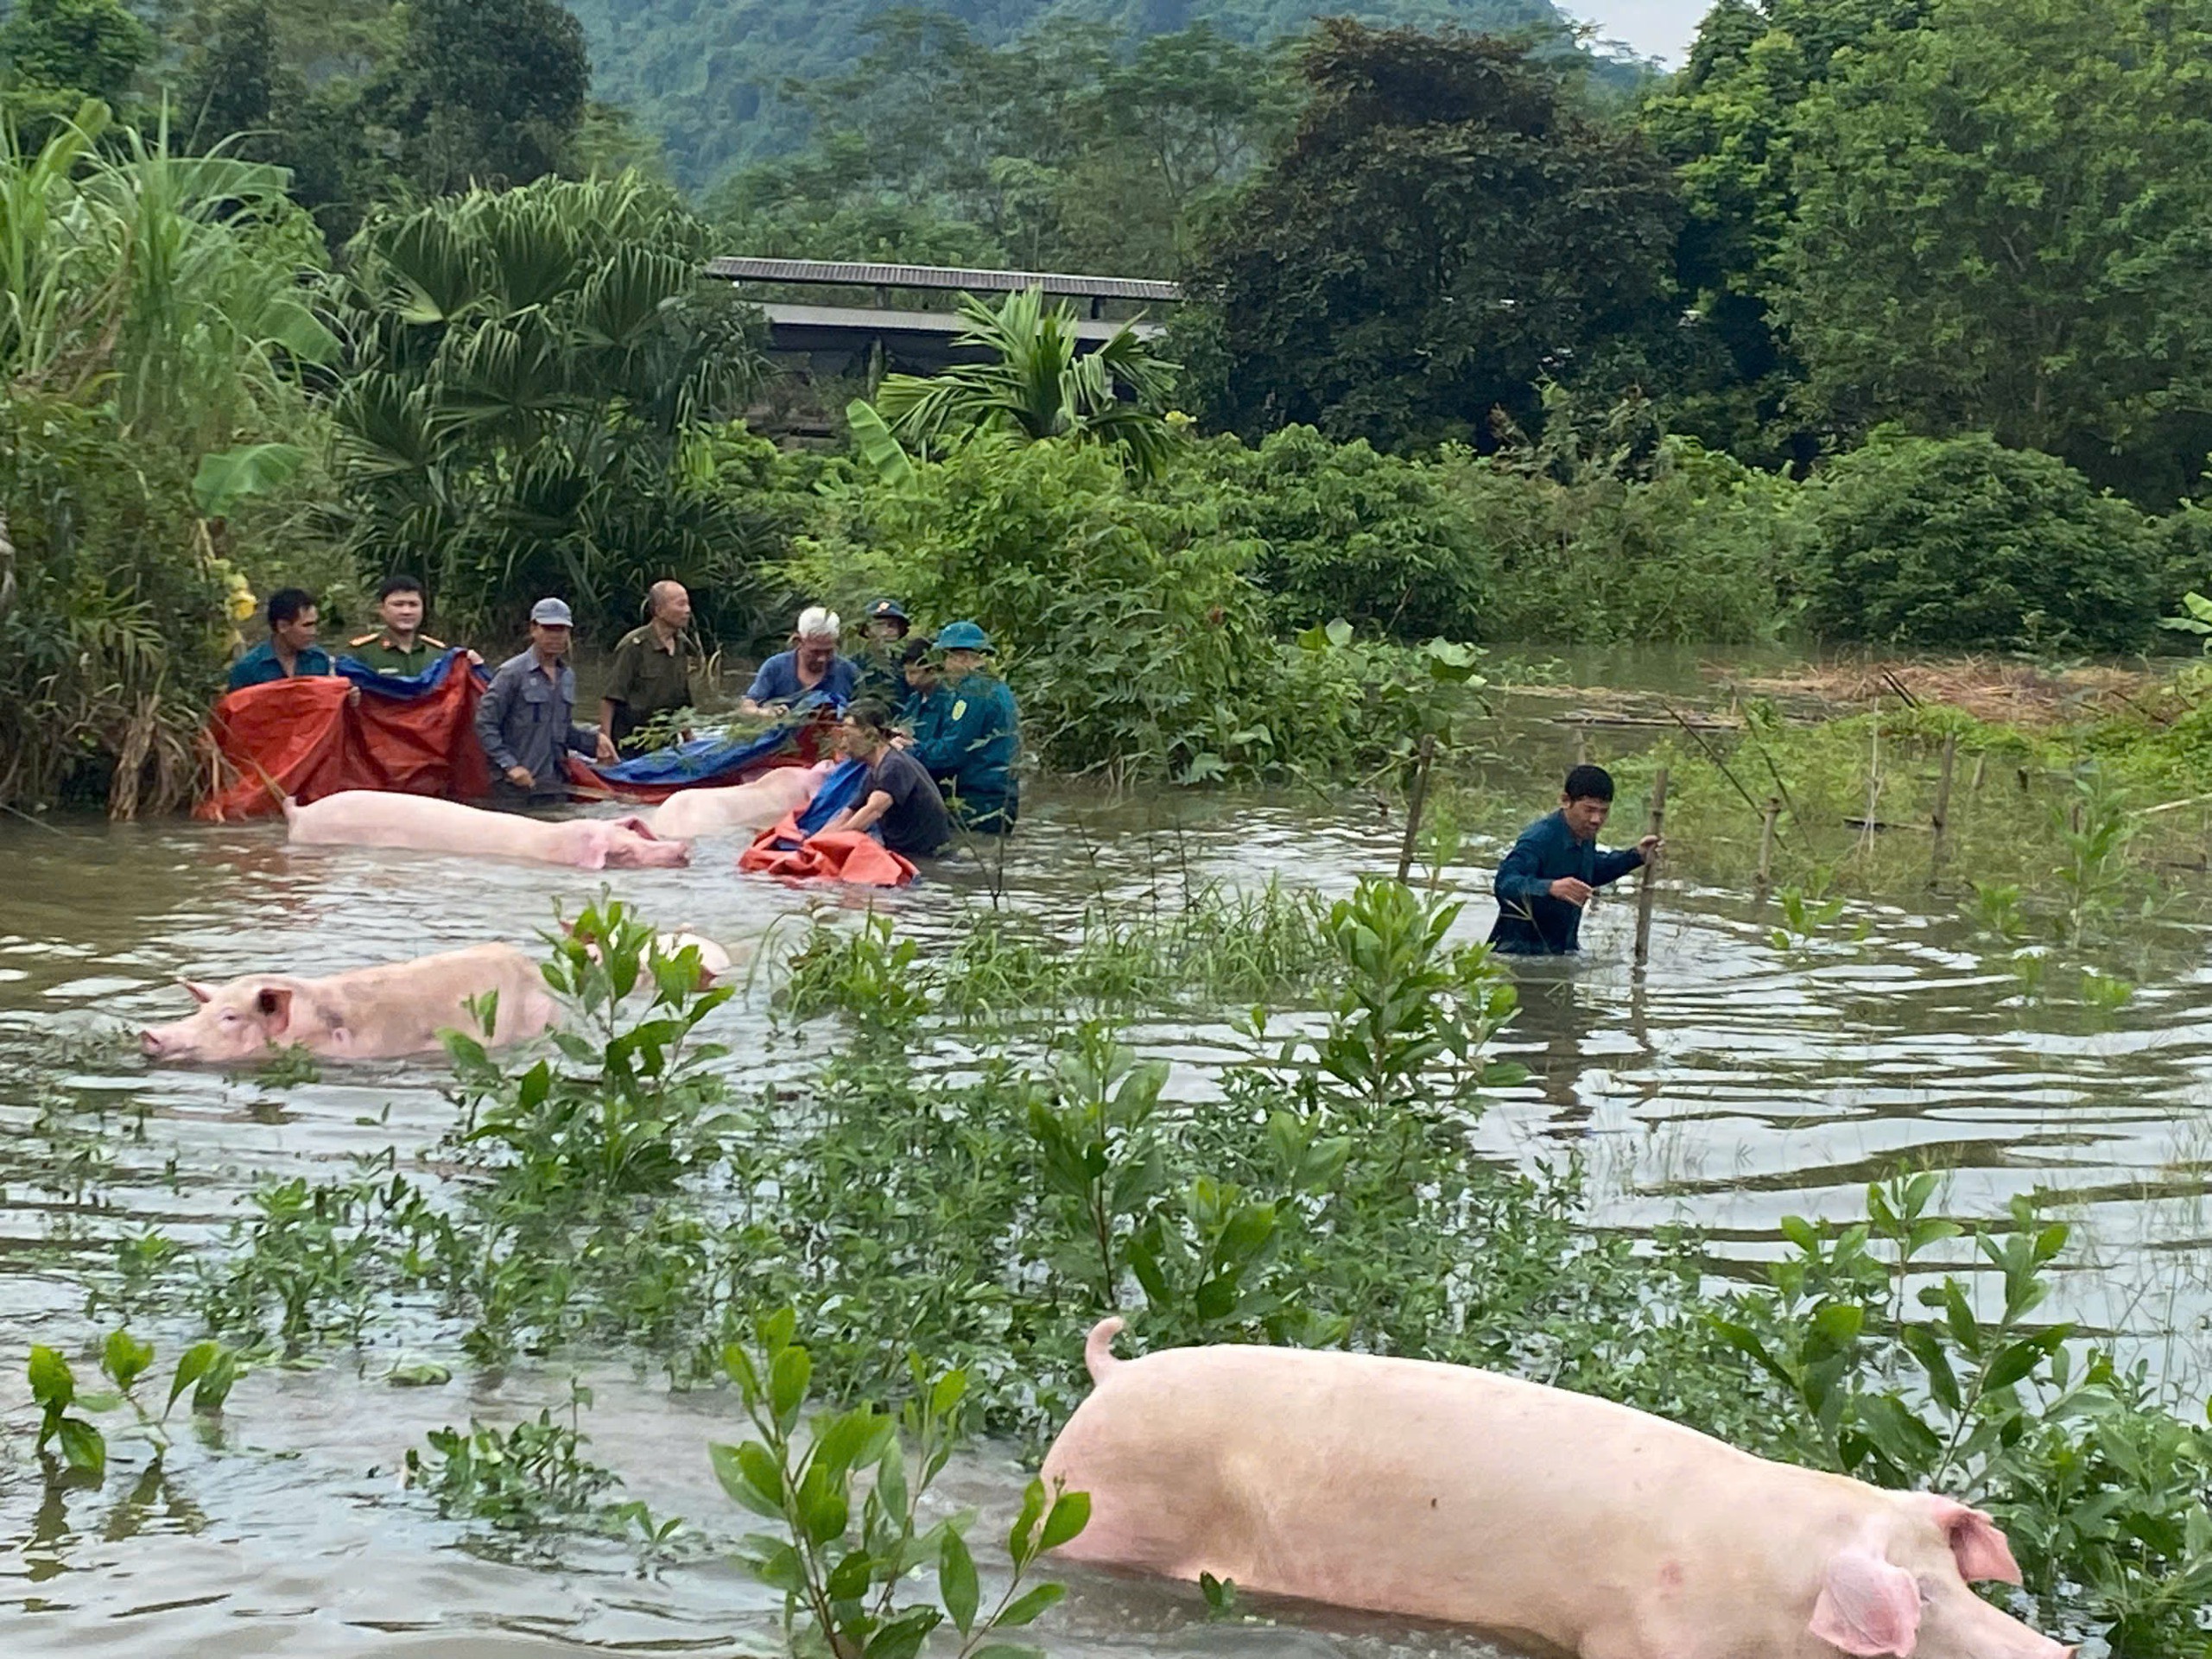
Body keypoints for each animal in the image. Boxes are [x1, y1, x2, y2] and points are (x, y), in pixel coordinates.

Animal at [1040, 1319, 2071, 1659]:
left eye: (1955, 1574)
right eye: (1919, 1599)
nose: (2055, 1651)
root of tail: (1110, 1374)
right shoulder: (1638, 1643)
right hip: (1099, 1514)